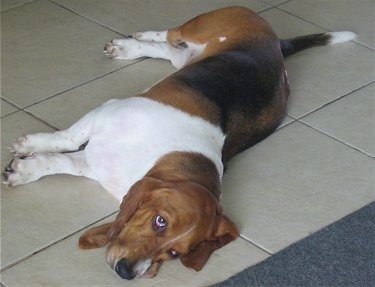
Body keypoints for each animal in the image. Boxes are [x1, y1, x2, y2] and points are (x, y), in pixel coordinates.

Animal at [2, 6, 356, 282]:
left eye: (174, 252)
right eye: (160, 221)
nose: (127, 272)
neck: (154, 157)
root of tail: (274, 43)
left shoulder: (94, 162)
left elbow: (60, 161)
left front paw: (25, 169)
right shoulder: (106, 112)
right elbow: (66, 138)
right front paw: (29, 146)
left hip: (182, 59)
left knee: (170, 51)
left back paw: (130, 48)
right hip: (199, 25)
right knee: (170, 35)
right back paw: (134, 39)